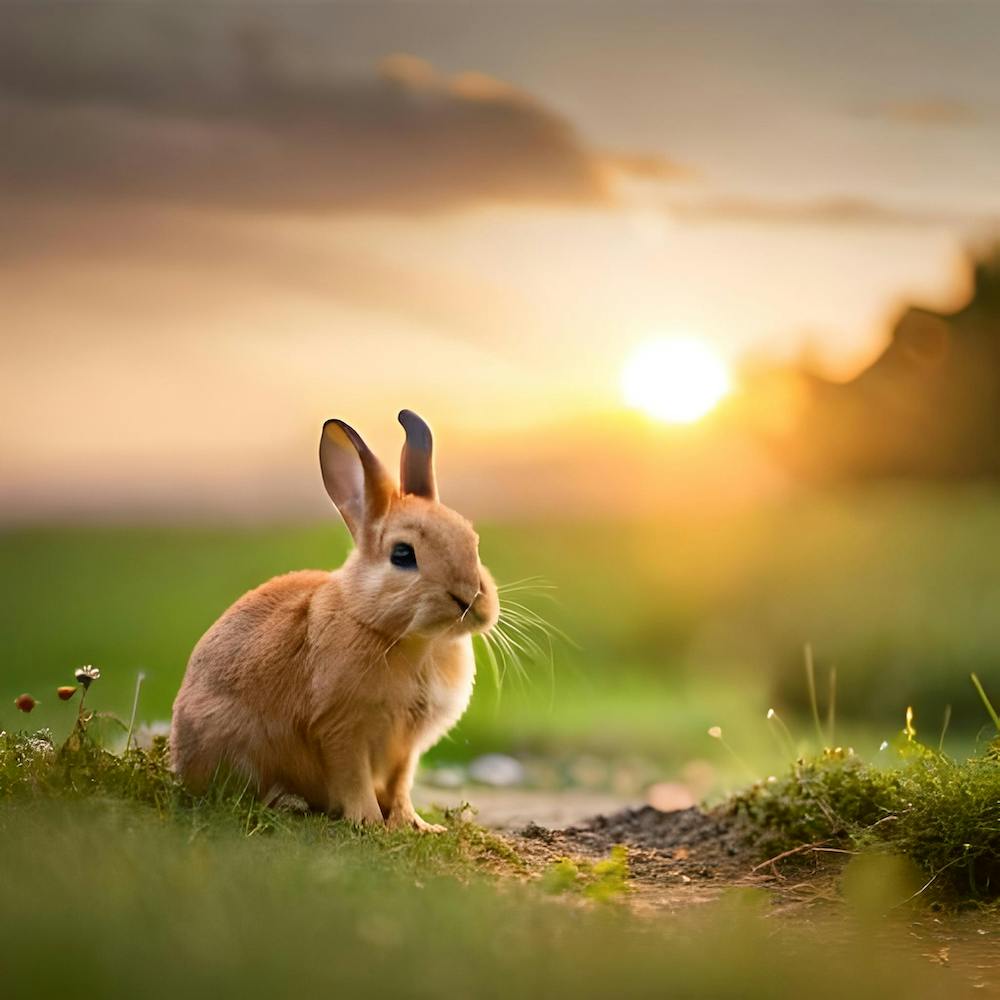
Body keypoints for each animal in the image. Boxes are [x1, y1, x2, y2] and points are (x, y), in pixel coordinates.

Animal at [170, 410, 499, 831]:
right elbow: (354, 779)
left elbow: (400, 786)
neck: (411, 639)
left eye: (473, 541)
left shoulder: (405, 747)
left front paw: (416, 826)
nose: (470, 599)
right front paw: (369, 825)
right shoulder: (341, 730)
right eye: (403, 554)